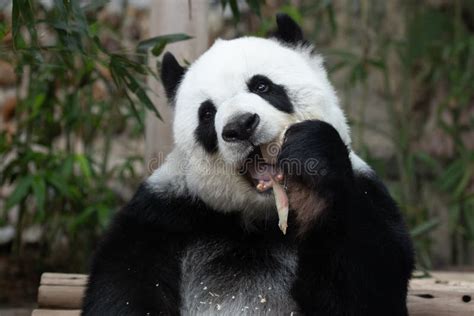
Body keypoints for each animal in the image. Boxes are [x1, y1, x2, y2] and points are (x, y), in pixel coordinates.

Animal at [84, 14, 414, 316]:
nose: (241, 126)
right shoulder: (163, 216)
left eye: (262, 86)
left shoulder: (367, 192)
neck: (257, 218)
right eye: (207, 113)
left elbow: (369, 285)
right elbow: (122, 290)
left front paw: (312, 161)